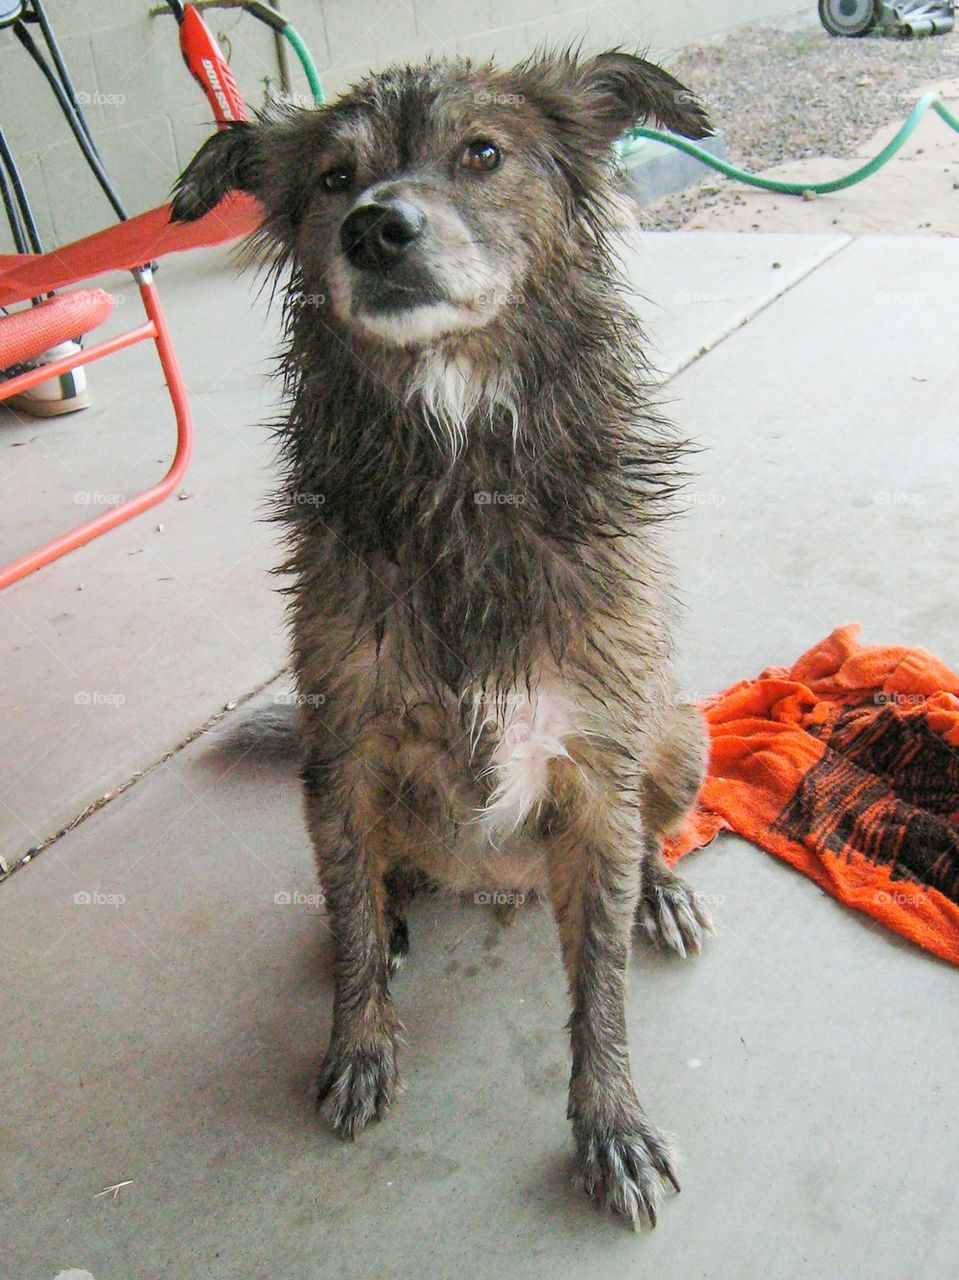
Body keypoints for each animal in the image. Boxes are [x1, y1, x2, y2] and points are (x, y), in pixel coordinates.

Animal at [171, 49, 711, 1223]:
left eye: (482, 153)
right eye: (332, 178)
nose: (375, 227)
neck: (458, 468)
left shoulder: (593, 763)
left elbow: (598, 986)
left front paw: (610, 1120)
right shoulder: (344, 739)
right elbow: (351, 931)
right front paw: (360, 1040)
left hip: (680, 732)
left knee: (649, 830)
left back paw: (658, 887)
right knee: (369, 878)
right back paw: (394, 904)